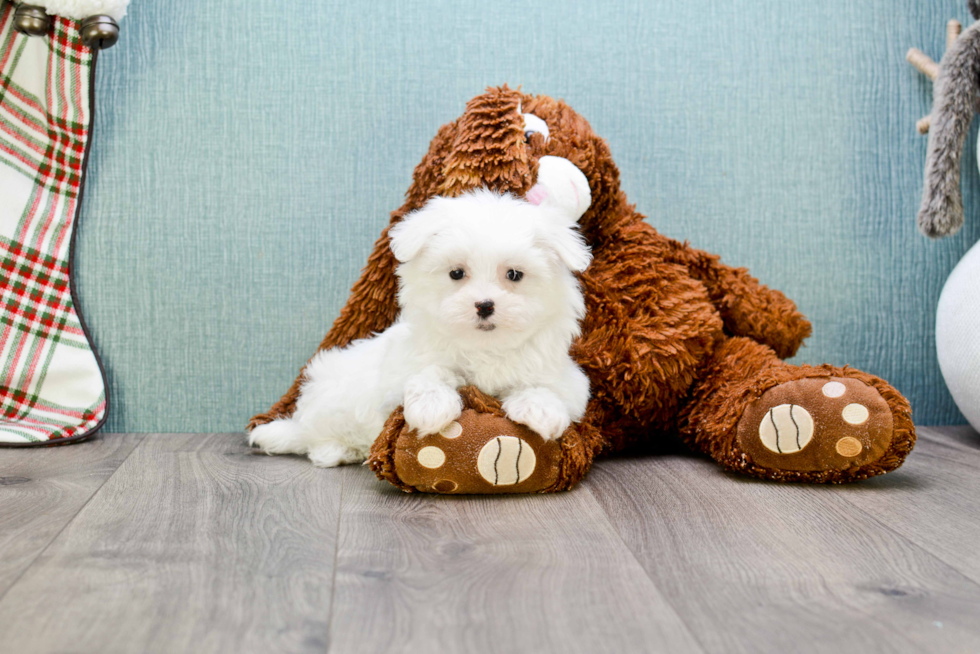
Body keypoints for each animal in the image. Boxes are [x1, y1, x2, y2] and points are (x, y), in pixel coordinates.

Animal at [249, 156, 592, 468]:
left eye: (515, 275)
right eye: (456, 273)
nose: (484, 305)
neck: (483, 349)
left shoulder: (564, 377)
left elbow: (543, 386)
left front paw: (540, 410)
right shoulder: (404, 368)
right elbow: (430, 372)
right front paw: (432, 407)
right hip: (333, 398)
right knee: (314, 438)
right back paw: (335, 450)